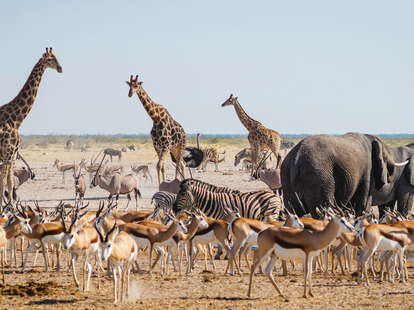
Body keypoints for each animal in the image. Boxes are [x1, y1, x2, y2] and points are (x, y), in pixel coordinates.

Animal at [0, 47, 62, 206]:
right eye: (50, 59)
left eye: (57, 57)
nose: (60, 68)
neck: (16, 120)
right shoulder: (9, 154)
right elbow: (5, 181)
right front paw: (7, 206)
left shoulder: (11, 155)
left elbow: (8, 181)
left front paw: (9, 206)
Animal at [280, 133, 410, 218]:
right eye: (385, 157)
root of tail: (296, 157)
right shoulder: (367, 171)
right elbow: (361, 205)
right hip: (319, 176)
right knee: (322, 210)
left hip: (286, 176)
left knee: (293, 212)